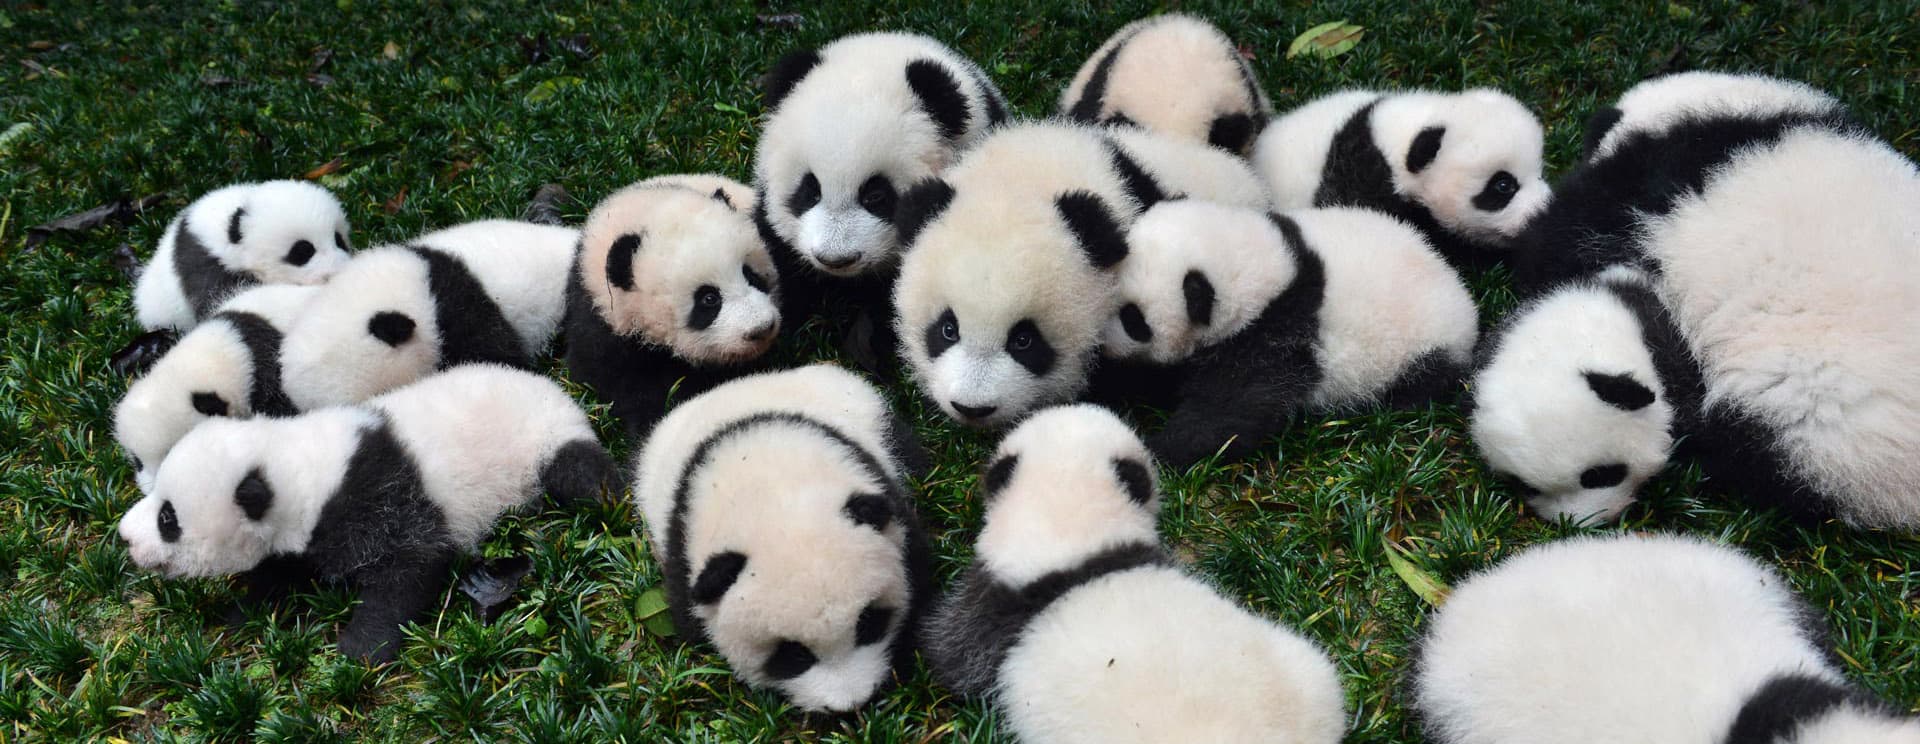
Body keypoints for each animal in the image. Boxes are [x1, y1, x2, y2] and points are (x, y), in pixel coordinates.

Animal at [117, 364, 621, 662]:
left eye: (167, 519)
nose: (125, 536)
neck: (298, 469)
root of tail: (557, 390)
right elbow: (283, 568)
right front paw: (241, 610)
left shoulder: (377, 495)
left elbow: (410, 567)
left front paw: (359, 649)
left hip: (544, 441)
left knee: (581, 475)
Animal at [1099, 201, 1478, 467]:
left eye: (1133, 318)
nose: (1103, 346)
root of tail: (1461, 296)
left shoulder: (1275, 336)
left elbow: (1231, 412)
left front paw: (1156, 448)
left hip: (1423, 346)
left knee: (1421, 382)